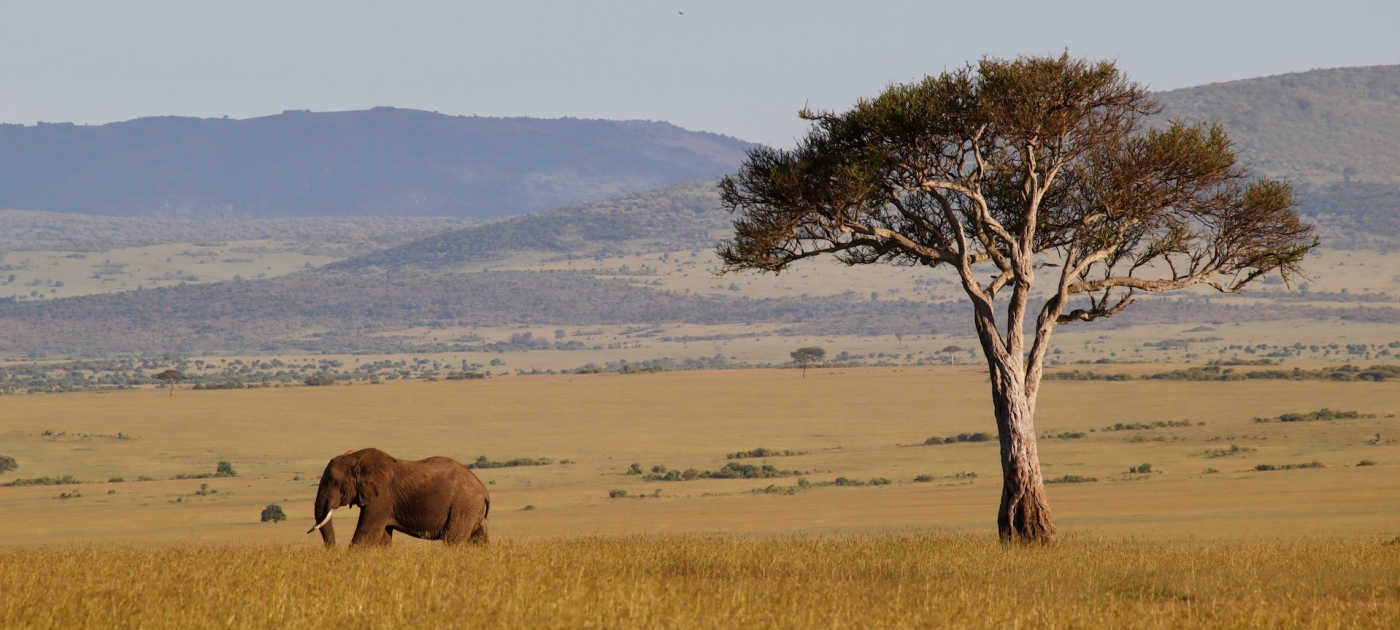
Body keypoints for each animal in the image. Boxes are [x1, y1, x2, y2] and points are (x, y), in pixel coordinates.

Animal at [308, 448, 490, 547]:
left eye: (336, 482)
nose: (334, 550)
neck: (358, 457)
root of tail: (484, 491)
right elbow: (383, 538)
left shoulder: (381, 498)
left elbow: (366, 534)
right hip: (472, 510)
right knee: (479, 541)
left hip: (464, 506)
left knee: (453, 540)